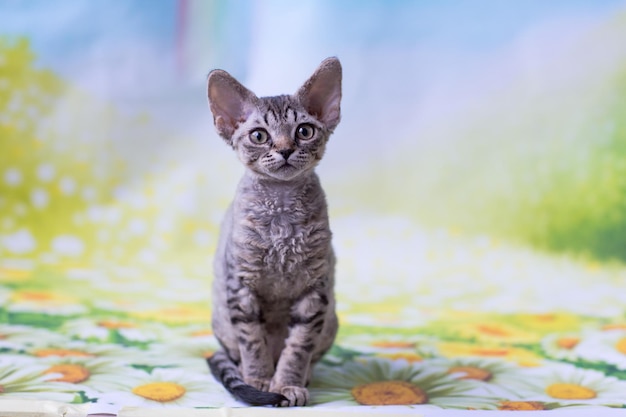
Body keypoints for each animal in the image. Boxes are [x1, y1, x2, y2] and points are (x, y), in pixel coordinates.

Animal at [205, 57, 342, 404]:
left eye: (304, 131)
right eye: (259, 136)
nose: (284, 149)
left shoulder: (315, 289)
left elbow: (299, 347)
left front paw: (287, 384)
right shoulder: (241, 285)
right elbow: (252, 341)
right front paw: (259, 380)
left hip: (331, 320)